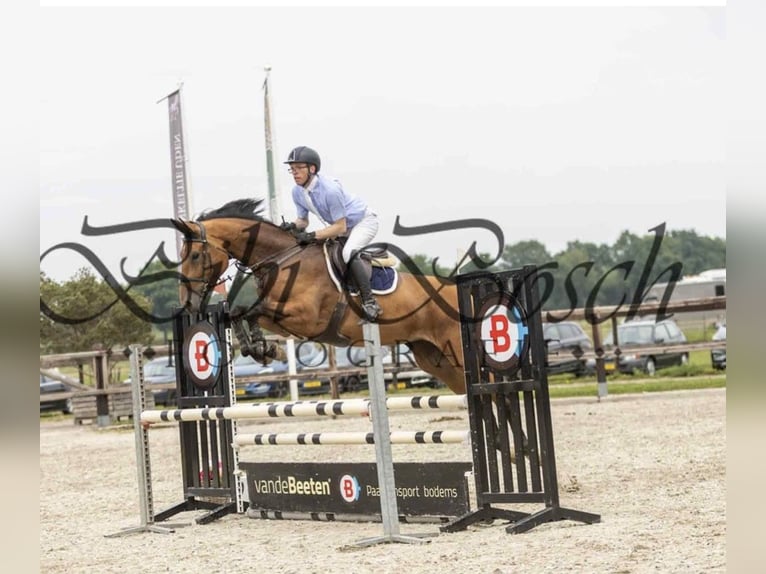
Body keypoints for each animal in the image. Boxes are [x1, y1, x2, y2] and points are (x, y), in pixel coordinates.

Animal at [170, 198, 467, 394]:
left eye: (194, 256)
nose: (188, 304)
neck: (282, 258)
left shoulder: (306, 318)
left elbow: (249, 310)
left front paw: (267, 350)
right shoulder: (281, 320)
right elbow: (238, 312)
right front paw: (262, 349)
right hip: (434, 359)